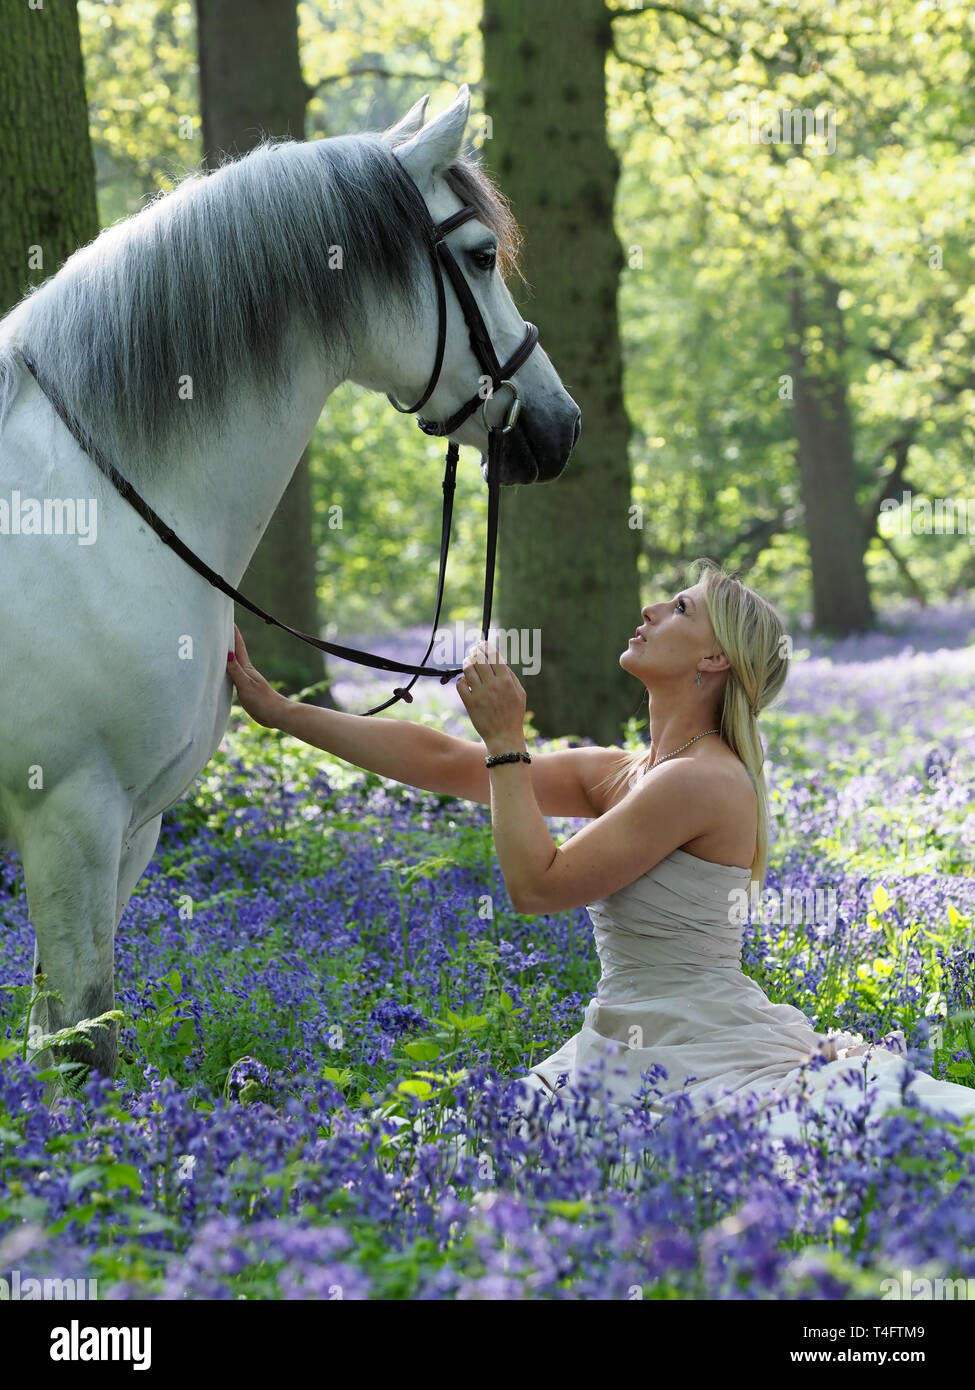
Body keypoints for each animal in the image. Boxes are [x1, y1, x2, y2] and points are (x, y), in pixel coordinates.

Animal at [0, 86, 578, 1078]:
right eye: (477, 255)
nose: (558, 426)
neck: (93, 505)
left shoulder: (128, 828)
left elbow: (65, 1035)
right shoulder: (68, 815)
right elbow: (81, 1044)